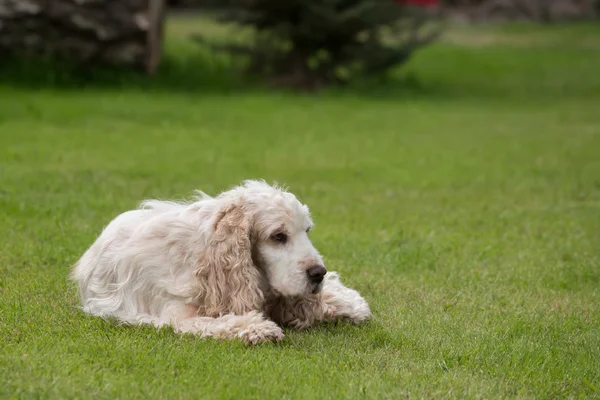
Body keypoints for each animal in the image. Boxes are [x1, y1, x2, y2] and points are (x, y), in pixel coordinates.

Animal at [70, 180, 370, 344]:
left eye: (306, 231)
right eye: (278, 236)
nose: (318, 273)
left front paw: (346, 305)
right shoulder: (176, 315)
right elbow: (218, 322)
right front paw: (257, 328)